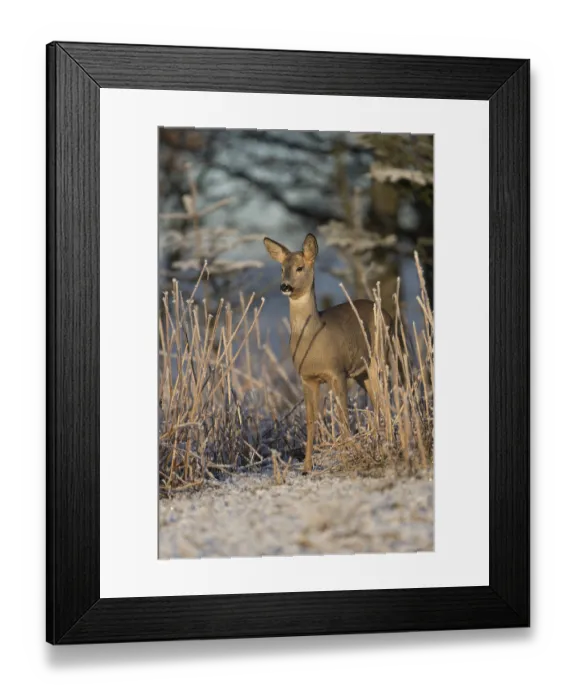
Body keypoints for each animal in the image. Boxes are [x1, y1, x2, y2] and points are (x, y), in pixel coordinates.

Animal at [263, 233, 393, 473]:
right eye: (281, 268)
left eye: (300, 267)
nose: (285, 286)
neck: (314, 336)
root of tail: (387, 314)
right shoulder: (307, 378)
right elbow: (311, 420)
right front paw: (306, 466)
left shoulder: (337, 371)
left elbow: (343, 417)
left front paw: (348, 456)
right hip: (361, 372)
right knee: (377, 399)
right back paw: (381, 440)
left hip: (380, 355)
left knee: (386, 396)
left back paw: (388, 440)